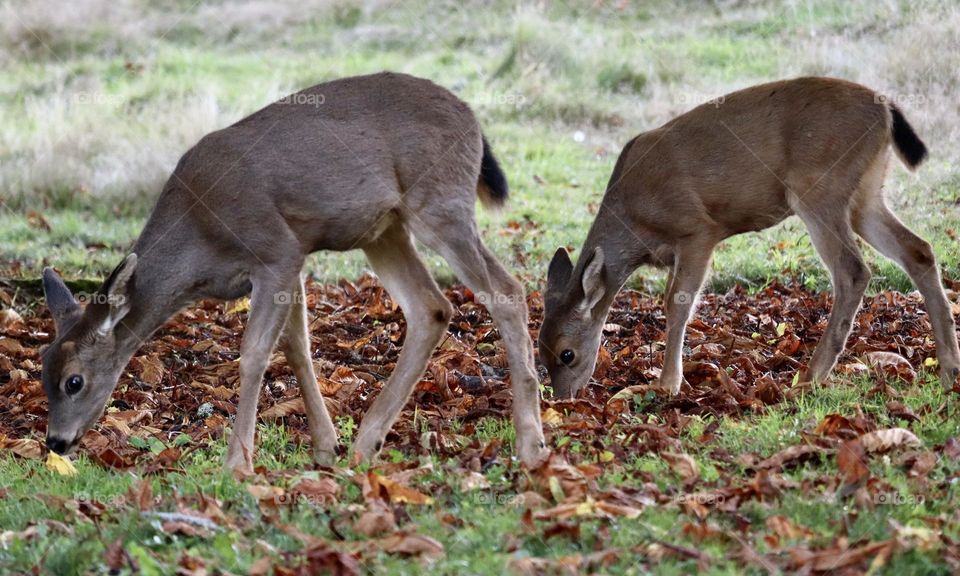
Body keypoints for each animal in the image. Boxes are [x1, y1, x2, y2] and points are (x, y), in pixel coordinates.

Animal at [40, 72, 548, 474]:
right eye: (45, 372)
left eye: (74, 380)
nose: (56, 442)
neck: (199, 242)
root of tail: (475, 121)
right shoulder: (294, 256)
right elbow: (296, 346)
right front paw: (325, 446)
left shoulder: (276, 250)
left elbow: (253, 354)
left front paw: (237, 463)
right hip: (383, 230)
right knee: (432, 307)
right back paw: (367, 441)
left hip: (440, 203)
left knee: (507, 290)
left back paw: (530, 444)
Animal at [539, 77, 960, 399]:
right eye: (540, 351)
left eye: (566, 354)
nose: (563, 398)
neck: (633, 219)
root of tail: (886, 110)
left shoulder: (697, 230)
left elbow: (677, 303)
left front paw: (667, 385)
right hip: (865, 194)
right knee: (918, 250)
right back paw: (949, 369)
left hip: (819, 188)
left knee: (853, 270)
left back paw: (811, 376)